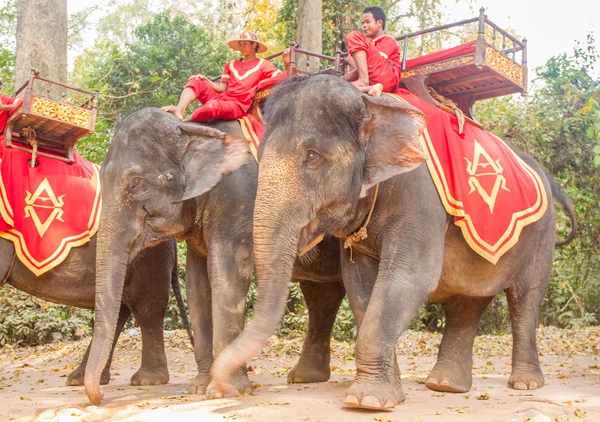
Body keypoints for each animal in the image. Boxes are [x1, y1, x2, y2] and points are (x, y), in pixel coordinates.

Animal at [81, 107, 344, 404]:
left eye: (136, 183)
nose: (99, 397)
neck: (191, 130)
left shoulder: (239, 201)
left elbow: (228, 275)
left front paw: (226, 391)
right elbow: (197, 287)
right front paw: (199, 387)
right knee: (323, 295)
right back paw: (305, 377)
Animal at [213, 74, 580, 410]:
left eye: (313, 156)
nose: (222, 385)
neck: (372, 105)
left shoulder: (420, 193)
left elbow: (410, 277)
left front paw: (368, 400)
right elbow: (361, 285)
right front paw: (387, 393)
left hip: (541, 234)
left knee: (525, 299)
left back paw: (525, 384)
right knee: (467, 302)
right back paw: (446, 385)